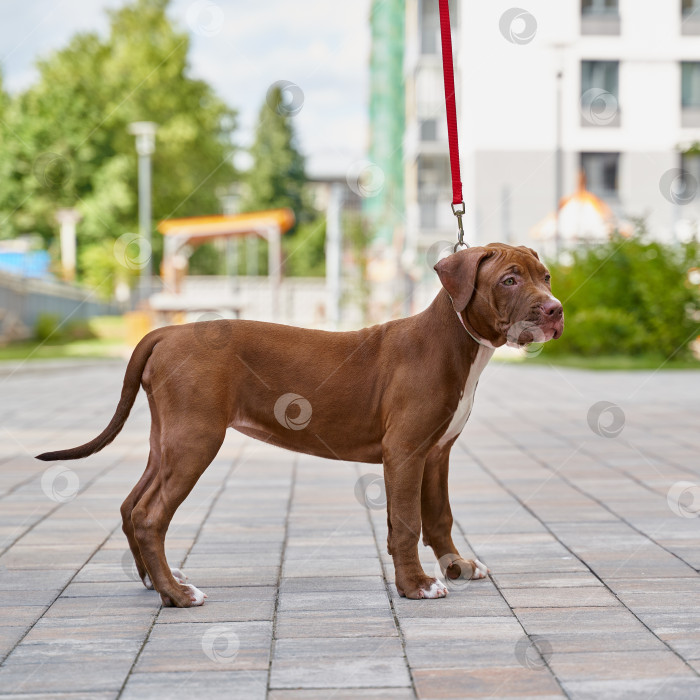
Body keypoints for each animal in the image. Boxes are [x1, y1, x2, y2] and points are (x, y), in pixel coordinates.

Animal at [37, 243, 564, 604]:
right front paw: (415, 586)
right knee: (149, 515)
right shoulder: (406, 451)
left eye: (546, 276)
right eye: (510, 280)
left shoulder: (435, 453)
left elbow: (438, 517)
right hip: (195, 439)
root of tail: (166, 331)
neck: (456, 341)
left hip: (166, 439)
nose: (556, 309)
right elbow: (407, 522)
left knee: (131, 504)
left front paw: (456, 567)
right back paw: (178, 595)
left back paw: (156, 582)